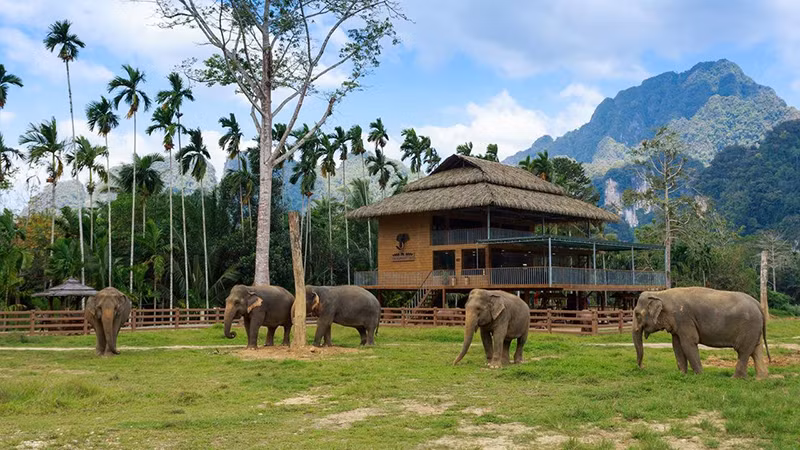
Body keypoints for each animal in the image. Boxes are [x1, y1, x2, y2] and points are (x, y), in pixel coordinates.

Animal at [633, 287, 771, 379]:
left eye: (637, 314)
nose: (642, 367)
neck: (661, 293)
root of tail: (758, 305)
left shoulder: (684, 318)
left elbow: (688, 343)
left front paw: (700, 375)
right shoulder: (678, 324)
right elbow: (676, 345)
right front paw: (682, 374)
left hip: (749, 326)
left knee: (743, 351)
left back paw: (736, 379)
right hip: (754, 328)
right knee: (756, 350)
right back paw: (761, 379)